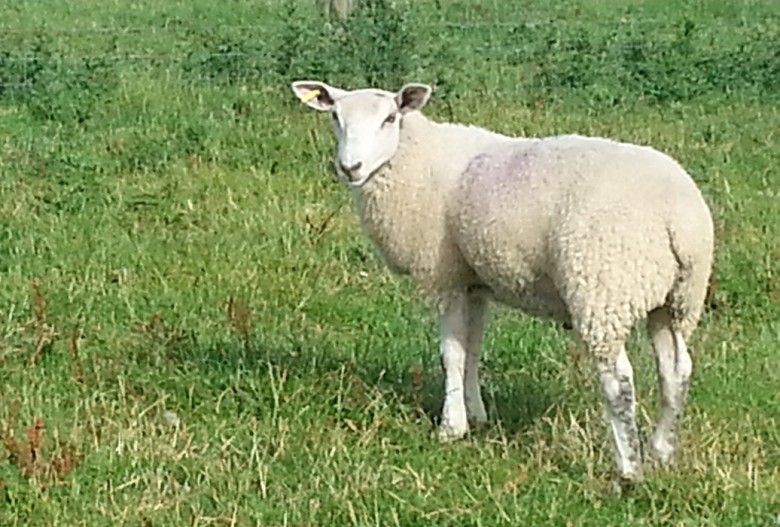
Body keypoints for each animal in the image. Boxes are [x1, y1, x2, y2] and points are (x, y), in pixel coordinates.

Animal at [290, 80, 715, 487]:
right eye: (335, 118)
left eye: (390, 118)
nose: (350, 167)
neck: (415, 159)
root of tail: (678, 216)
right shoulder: (474, 280)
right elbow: (473, 349)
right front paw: (476, 415)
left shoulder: (443, 276)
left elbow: (451, 353)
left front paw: (451, 428)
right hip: (675, 298)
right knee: (676, 370)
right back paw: (662, 453)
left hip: (603, 288)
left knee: (620, 382)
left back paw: (628, 470)